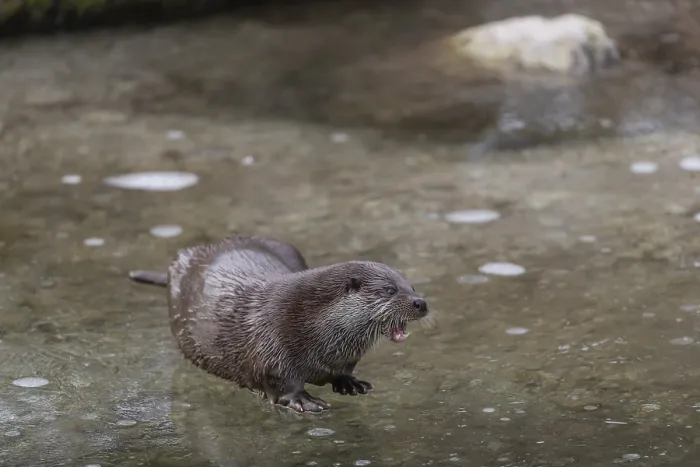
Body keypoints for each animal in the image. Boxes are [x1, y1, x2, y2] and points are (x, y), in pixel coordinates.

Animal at [128, 234, 429, 413]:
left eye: (413, 287)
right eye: (390, 290)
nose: (421, 303)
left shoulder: (344, 358)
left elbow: (344, 372)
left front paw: (350, 383)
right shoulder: (270, 345)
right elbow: (280, 383)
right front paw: (304, 400)